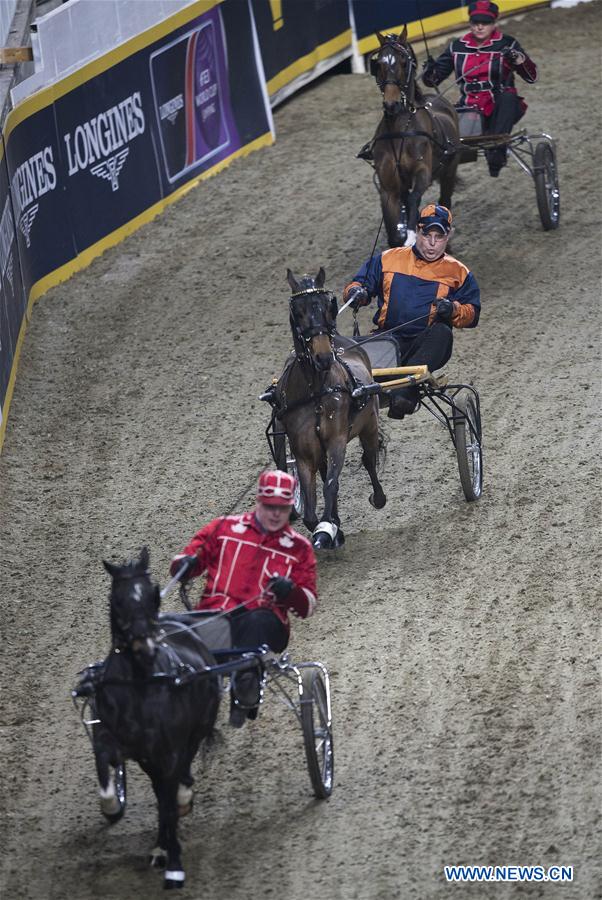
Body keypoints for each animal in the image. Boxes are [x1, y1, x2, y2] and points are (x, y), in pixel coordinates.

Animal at [85, 547, 220, 889]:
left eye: (153, 594)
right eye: (117, 599)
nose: (144, 646)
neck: (139, 685)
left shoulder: (169, 751)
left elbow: (170, 804)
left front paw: (174, 866)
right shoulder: (109, 738)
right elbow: (105, 774)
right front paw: (112, 807)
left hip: (194, 732)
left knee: (176, 782)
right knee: (161, 791)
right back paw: (160, 845)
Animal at [269, 267, 386, 550]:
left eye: (326, 306)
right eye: (298, 310)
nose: (323, 357)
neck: (315, 390)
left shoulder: (337, 440)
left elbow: (331, 485)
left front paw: (328, 529)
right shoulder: (304, 451)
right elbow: (311, 509)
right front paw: (331, 528)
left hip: (369, 423)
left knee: (368, 459)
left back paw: (378, 498)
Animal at [369, 27, 460, 247]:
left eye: (404, 62)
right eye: (379, 64)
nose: (391, 104)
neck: (400, 131)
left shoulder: (423, 172)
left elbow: (413, 199)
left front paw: (411, 236)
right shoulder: (388, 189)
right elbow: (394, 233)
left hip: (450, 170)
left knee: (444, 203)